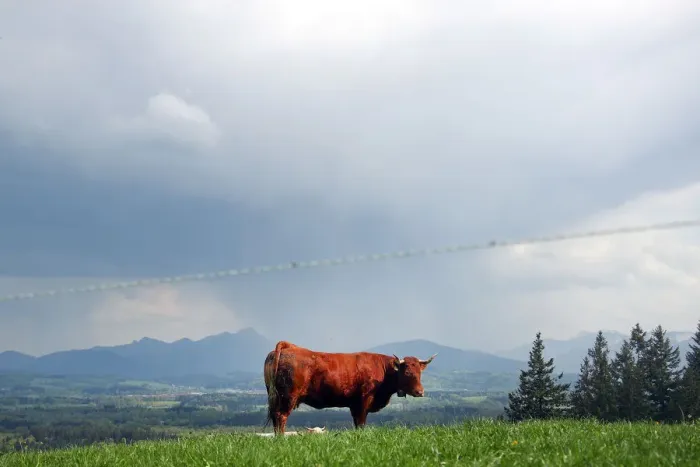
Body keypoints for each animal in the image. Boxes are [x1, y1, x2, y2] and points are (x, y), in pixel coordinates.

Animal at [263, 340, 437, 434]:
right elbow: (361, 423)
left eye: (420, 372)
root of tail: (289, 346)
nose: (420, 392)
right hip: (288, 397)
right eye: (407, 372)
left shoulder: (354, 405)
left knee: (275, 417)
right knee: (281, 417)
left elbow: (356, 423)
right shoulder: (363, 402)